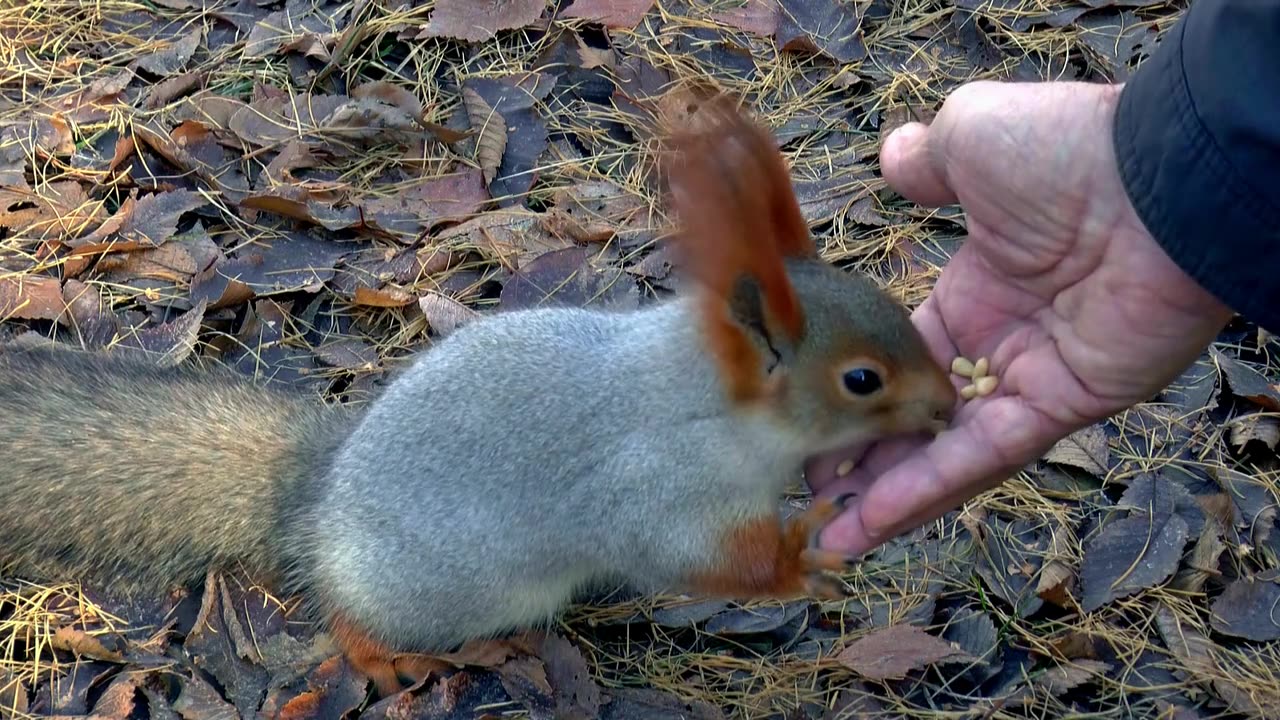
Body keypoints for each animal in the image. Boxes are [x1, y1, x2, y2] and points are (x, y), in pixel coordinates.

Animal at [0, 96, 962, 696]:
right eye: (862, 379)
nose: (951, 409)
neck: (707, 403)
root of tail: (316, 501)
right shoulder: (652, 487)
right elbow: (688, 556)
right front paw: (800, 557)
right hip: (432, 591)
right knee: (349, 612)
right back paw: (380, 655)